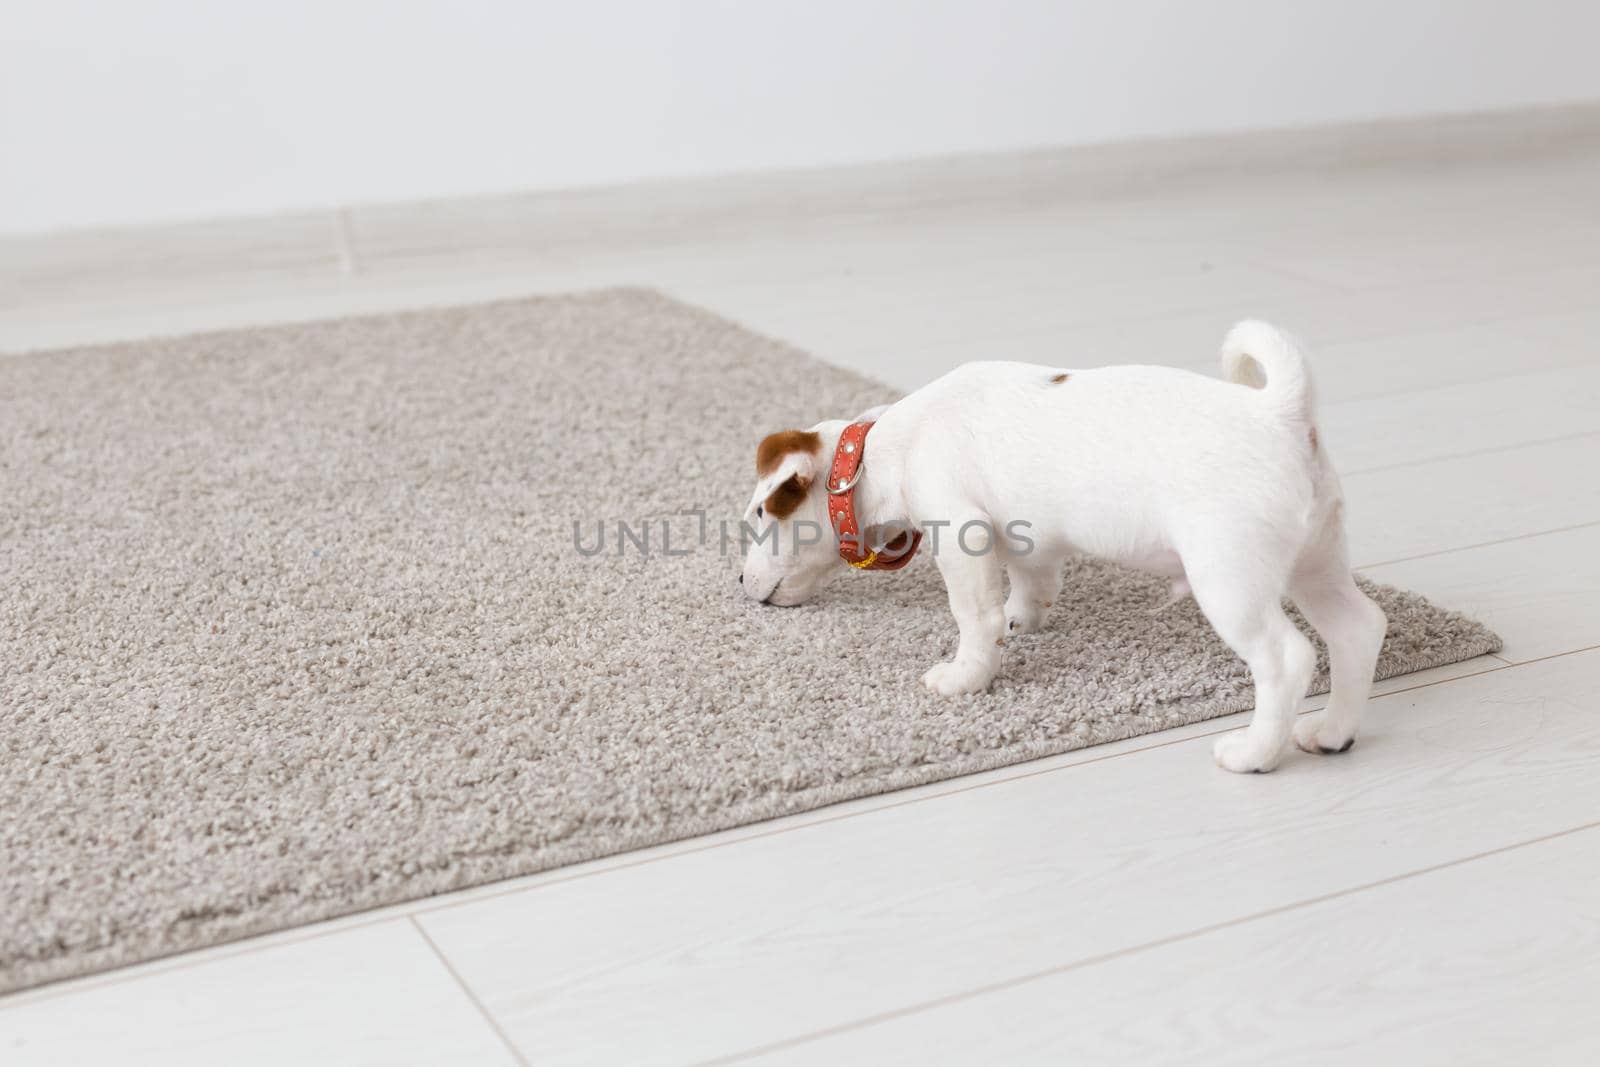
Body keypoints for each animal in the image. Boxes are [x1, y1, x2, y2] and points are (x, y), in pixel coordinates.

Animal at [739, 319, 1388, 777]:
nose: (741, 586)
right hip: (1316, 565)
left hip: (1229, 581)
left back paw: (1255, 753)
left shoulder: (963, 535)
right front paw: (1020, 619)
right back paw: (1333, 732)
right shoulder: (1026, 537)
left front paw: (966, 676)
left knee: (1285, 660)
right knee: (1359, 629)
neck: (878, 452)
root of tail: (1278, 412)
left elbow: (973, 616)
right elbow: (1033, 582)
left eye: (759, 515)